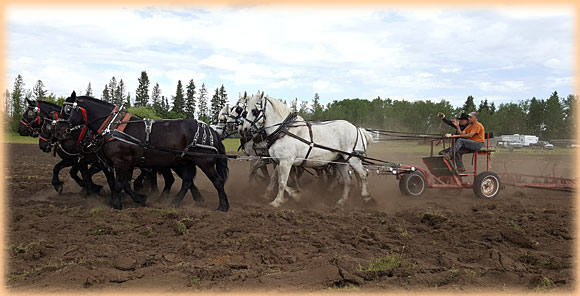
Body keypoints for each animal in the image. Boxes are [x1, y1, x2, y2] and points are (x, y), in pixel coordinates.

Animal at [55, 92, 229, 210]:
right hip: (185, 161)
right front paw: (136, 199)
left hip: (204, 161)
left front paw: (116, 204)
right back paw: (175, 202)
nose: (58, 131)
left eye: (68, 110)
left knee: (217, 181)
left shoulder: (122, 162)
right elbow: (122, 183)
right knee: (186, 181)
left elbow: (119, 183)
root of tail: (210, 129)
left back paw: (223, 206)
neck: (112, 126)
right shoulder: (119, 163)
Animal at [241, 91, 374, 207]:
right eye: (245, 111)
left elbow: (282, 182)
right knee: (347, 180)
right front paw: (294, 194)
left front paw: (277, 202)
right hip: (341, 160)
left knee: (363, 175)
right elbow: (278, 179)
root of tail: (358, 129)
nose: (244, 129)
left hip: (353, 159)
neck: (283, 131)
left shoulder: (286, 162)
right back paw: (341, 201)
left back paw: (366, 197)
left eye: (254, 111)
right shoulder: (279, 162)